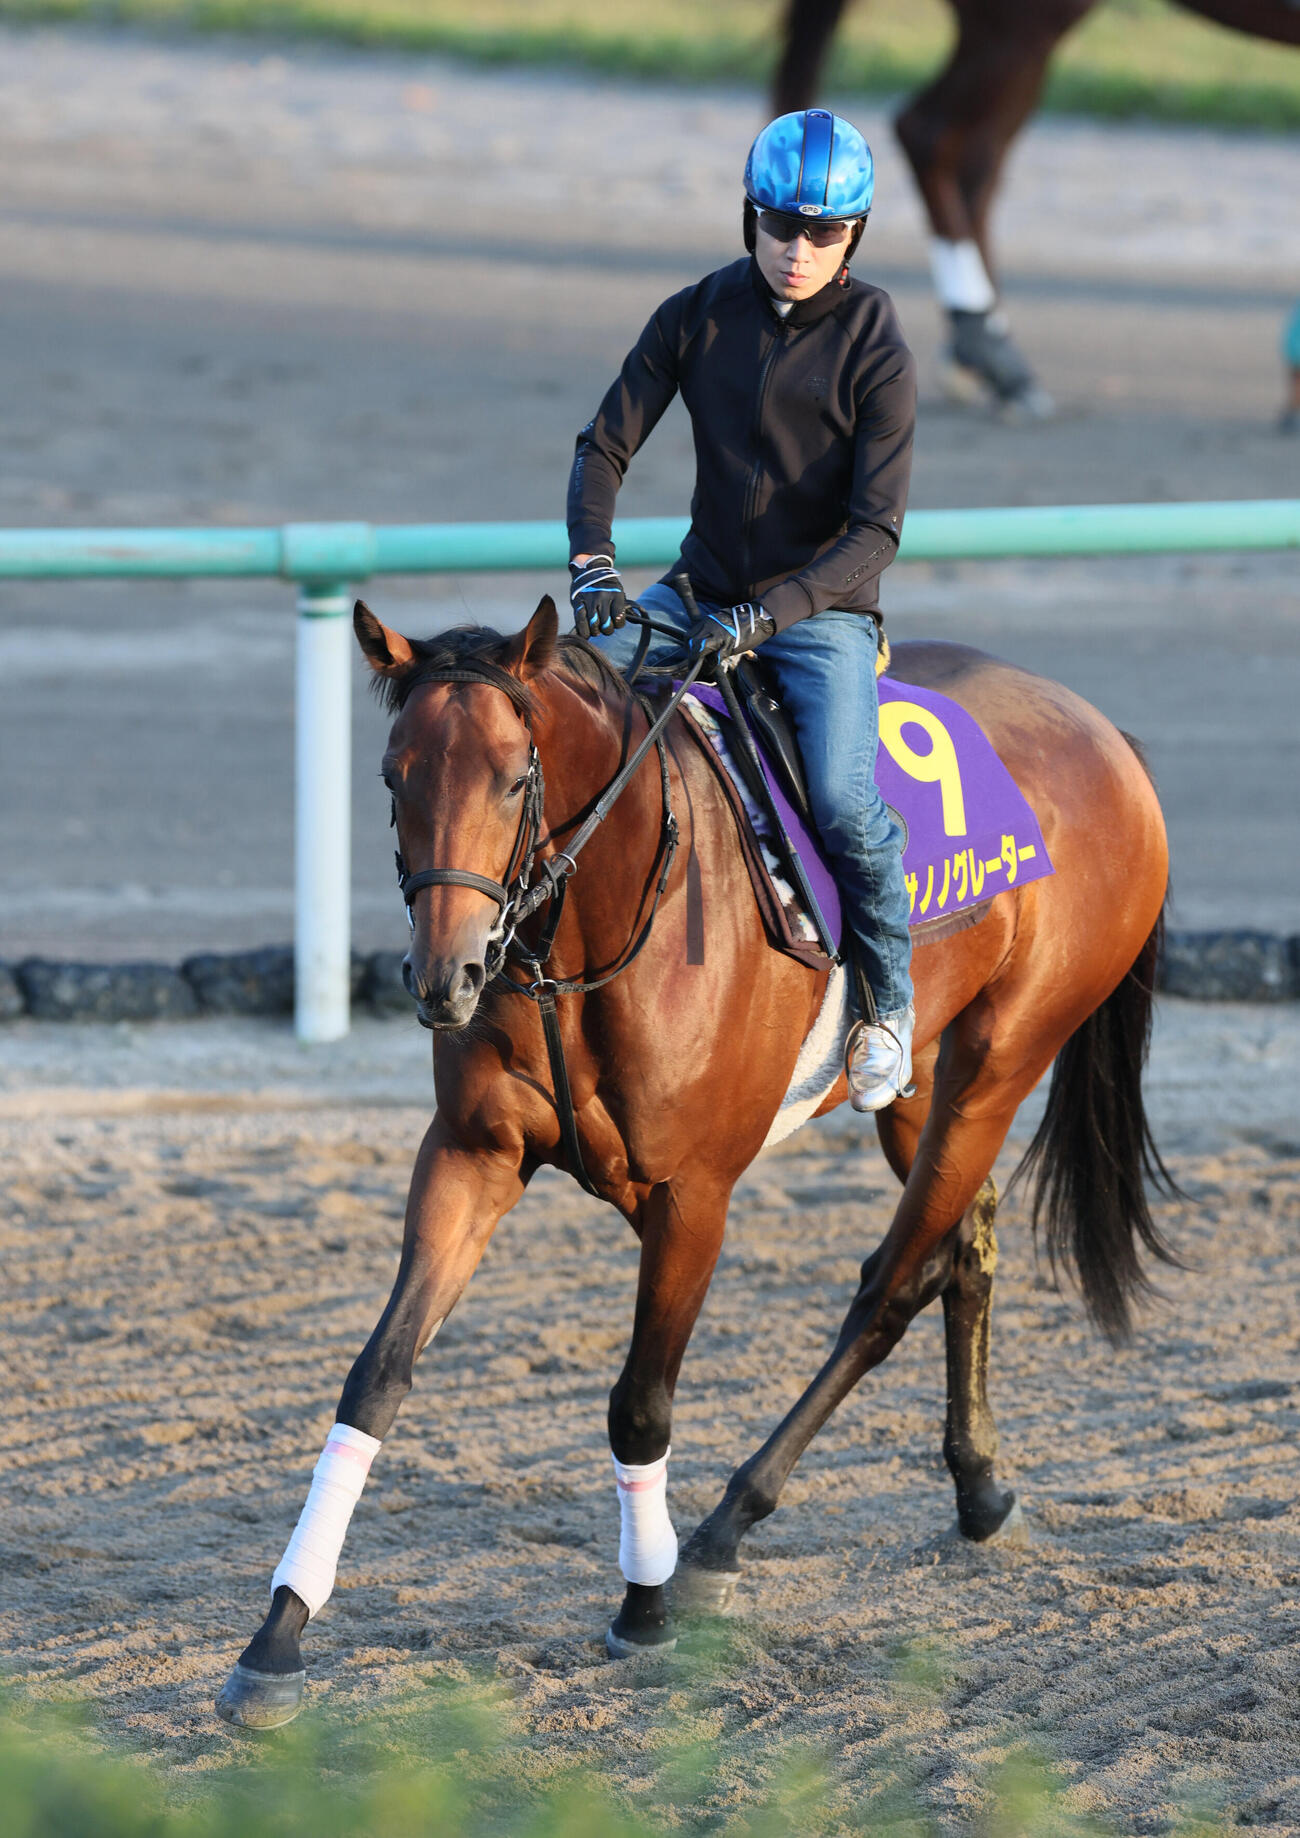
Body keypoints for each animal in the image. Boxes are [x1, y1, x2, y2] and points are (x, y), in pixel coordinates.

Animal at [216, 595, 1176, 1726]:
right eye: (393, 775)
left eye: (511, 777)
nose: (444, 975)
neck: (591, 930)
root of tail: (1107, 735)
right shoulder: (471, 1154)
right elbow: (376, 1376)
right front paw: (278, 1634)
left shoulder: (692, 1198)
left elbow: (640, 1403)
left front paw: (645, 1604)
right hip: (922, 1080)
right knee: (967, 1238)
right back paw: (978, 1487)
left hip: (1002, 1059)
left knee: (893, 1281)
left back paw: (724, 1529)